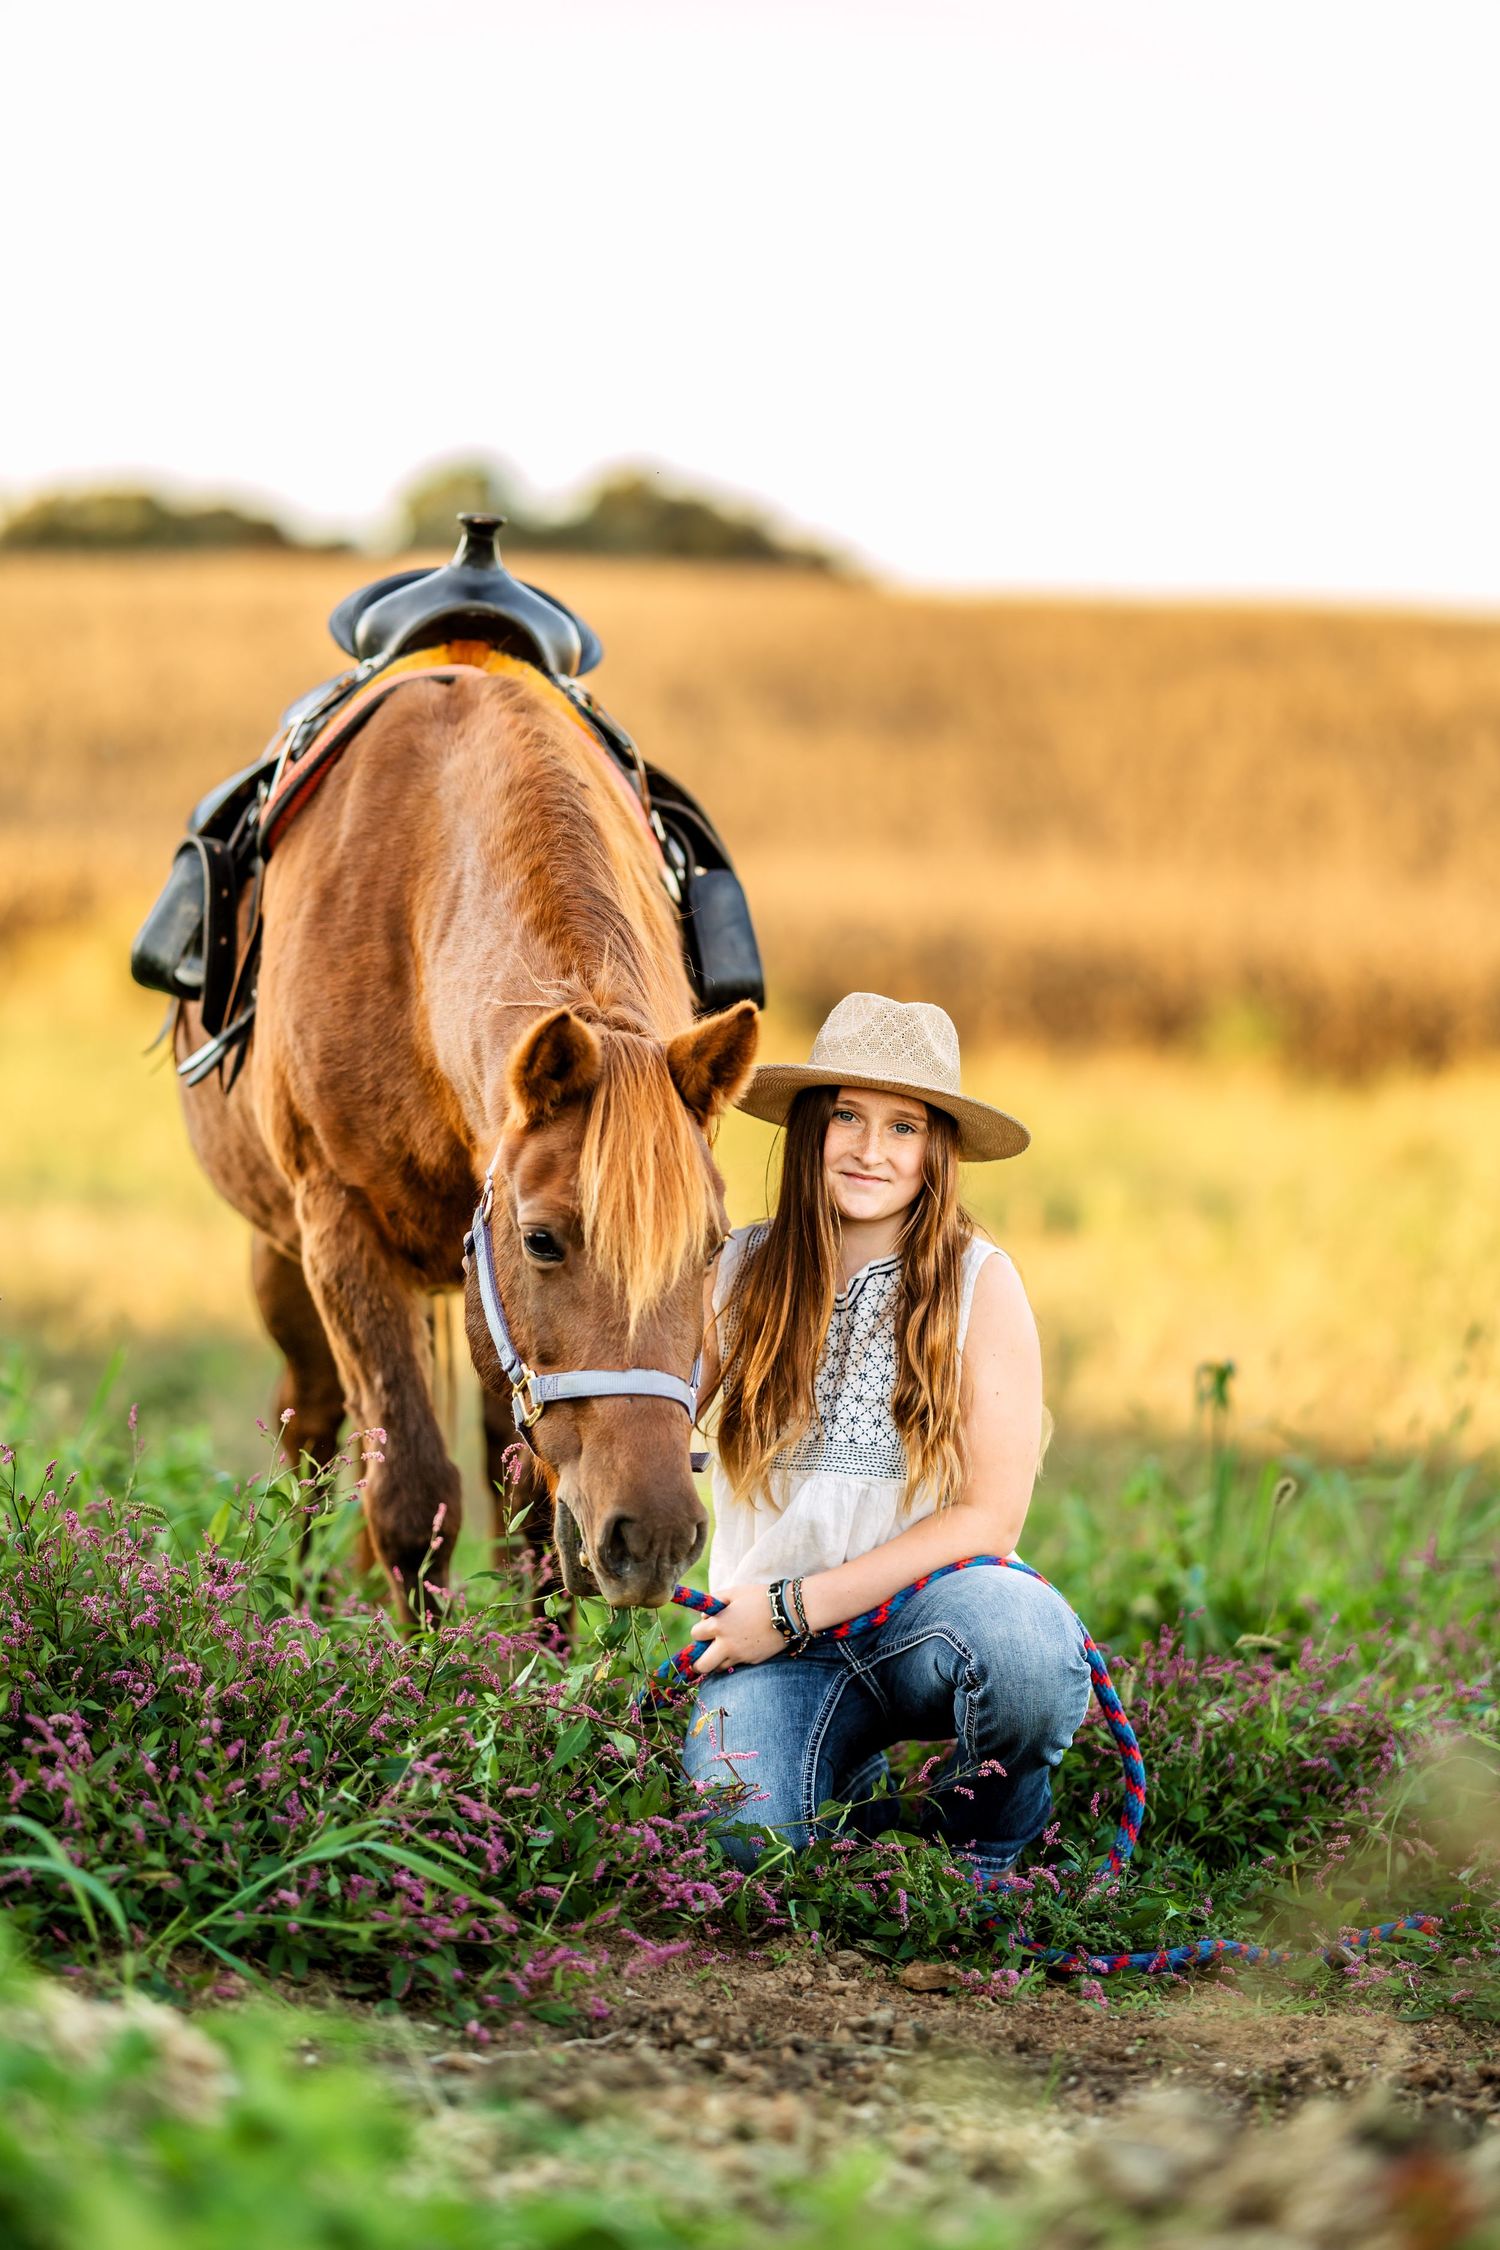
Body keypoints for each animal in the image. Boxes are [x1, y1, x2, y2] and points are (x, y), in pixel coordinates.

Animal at [175, 660, 758, 1620]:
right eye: (542, 1240)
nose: (654, 1535)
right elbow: (413, 1503)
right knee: (311, 1425)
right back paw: (299, 1604)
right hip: (286, 1259)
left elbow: (527, 1522)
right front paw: (422, 1664)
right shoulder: (339, 1230)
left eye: (711, 1248)